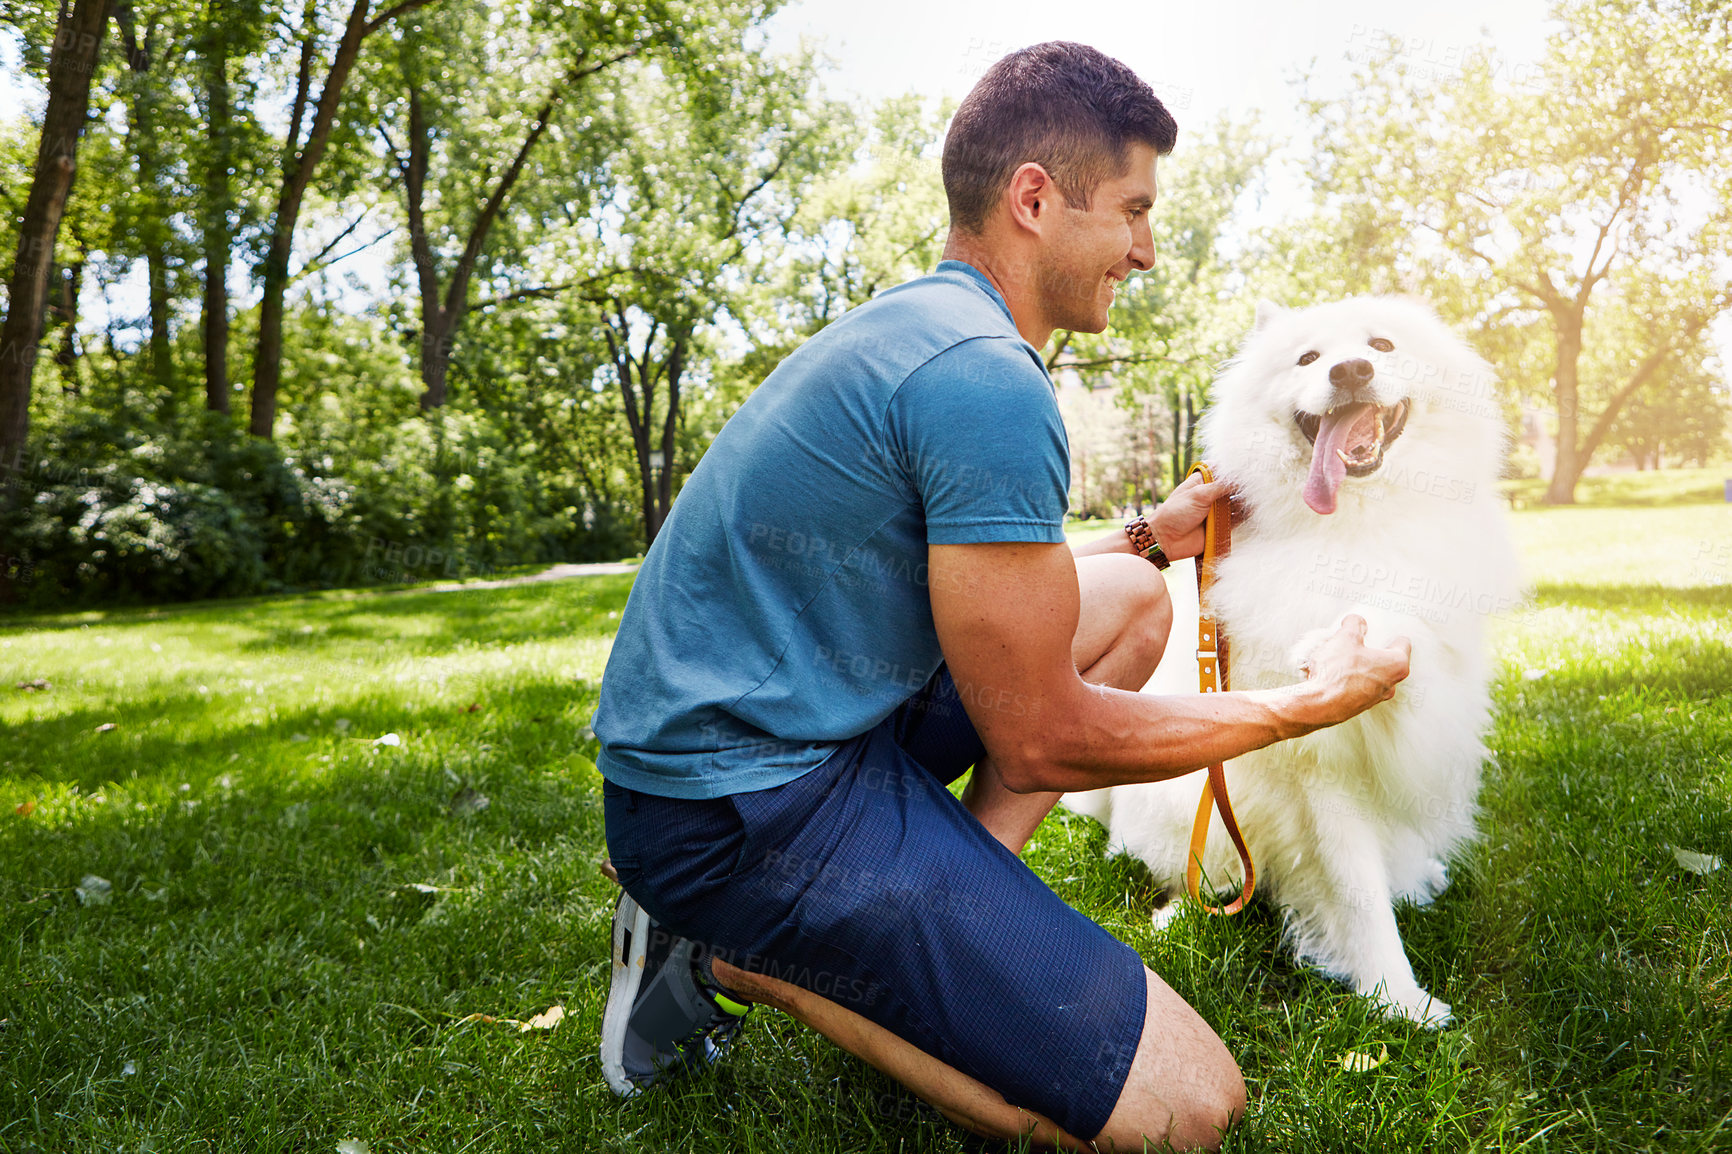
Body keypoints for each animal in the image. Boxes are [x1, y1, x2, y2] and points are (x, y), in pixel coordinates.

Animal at [1059, 296, 1524, 1025]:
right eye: (1307, 359)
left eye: (1381, 345)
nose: (1351, 369)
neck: (1353, 524)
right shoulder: (1322, 767)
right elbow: (1357, 891)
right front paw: (1398, 1000)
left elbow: (1400, 620)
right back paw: (1178, 913)